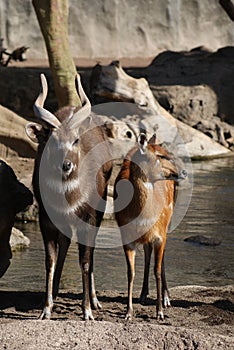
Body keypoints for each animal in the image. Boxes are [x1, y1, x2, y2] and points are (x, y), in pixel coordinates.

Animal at [26, 74, 112, 320]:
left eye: (75, 140)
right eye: (52, 141)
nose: (66, 165)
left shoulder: (89, 217)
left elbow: (85, 261)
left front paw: (87, 311)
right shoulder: (46, 219)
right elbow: (50, 260)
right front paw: (46, 309)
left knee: (90, 252)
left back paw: (95, 300)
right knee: (64, 244)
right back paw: (54, 294)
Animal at [114, 133, 186, 320]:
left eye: (167, 152)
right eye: (160, 156)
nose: (183, 171)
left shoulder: (160, 235)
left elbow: (157, 270)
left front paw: (159, 312)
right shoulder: (127, 238)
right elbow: (130, 272)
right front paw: (128, 312)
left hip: (168, 223)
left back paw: (166, 298)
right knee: (147, 251)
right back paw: (143, 294)